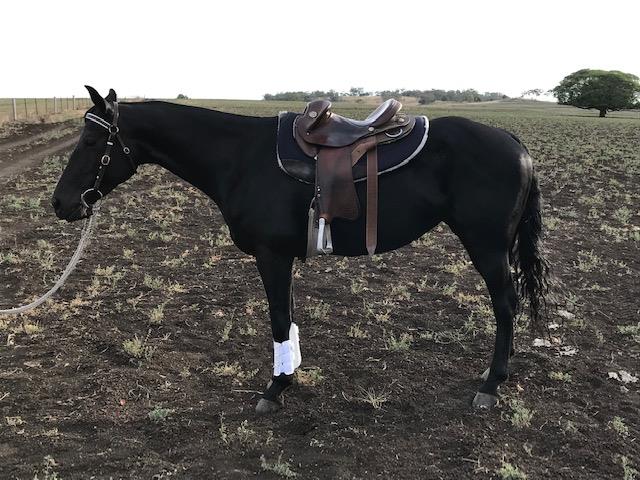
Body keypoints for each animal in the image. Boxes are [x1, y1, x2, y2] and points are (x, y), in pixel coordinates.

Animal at [52, 86, 550, 414]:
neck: (239, 156)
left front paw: (275, 389)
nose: (60, 203)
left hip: (487, 246)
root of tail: (516, 144)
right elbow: (287, 316)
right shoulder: (282, 256)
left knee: (505, 305)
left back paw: (492, 384)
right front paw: (290, 373)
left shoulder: (271, 254)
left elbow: (276, 319)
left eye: (92, 141)